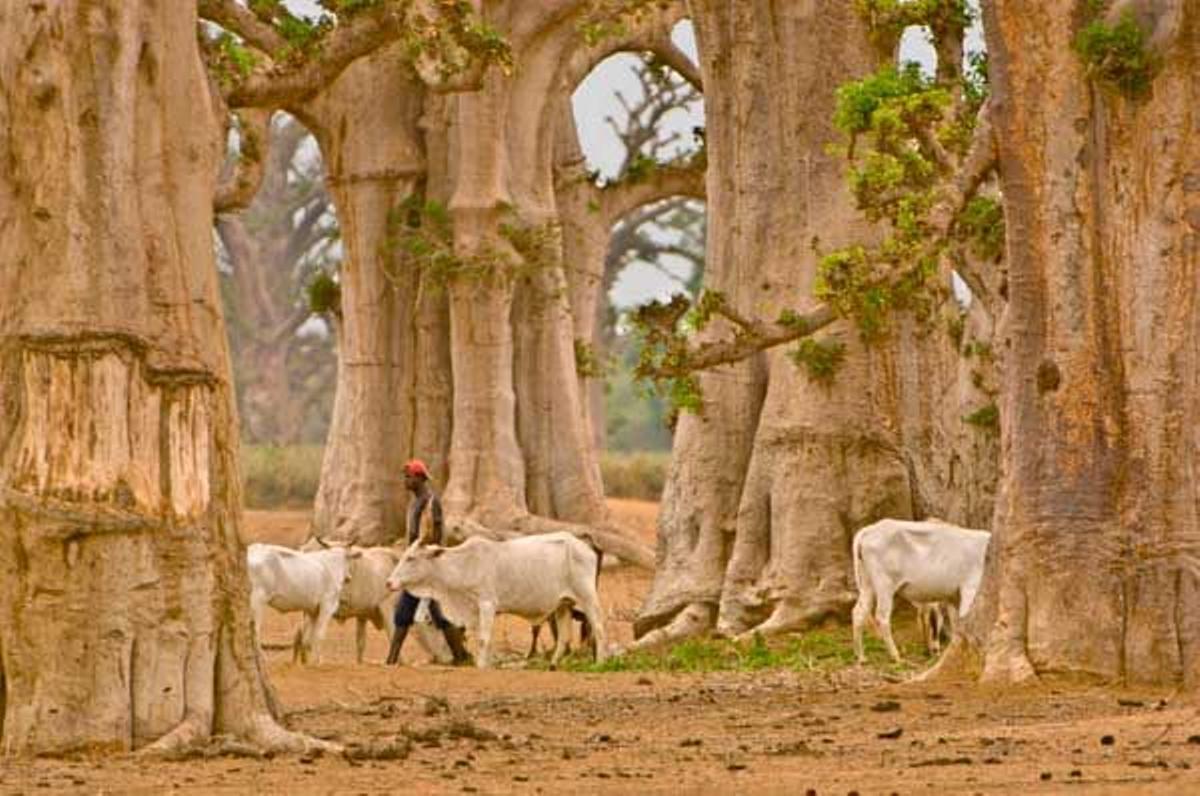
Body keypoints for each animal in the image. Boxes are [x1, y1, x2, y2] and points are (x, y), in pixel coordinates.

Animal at [386, 533, 609, 667]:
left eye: (411, 558)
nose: (389, 582)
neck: (464, 565)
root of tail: (585, 546)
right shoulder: (475, 611)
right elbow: (483, 640)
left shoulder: (487, 604)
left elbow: (483, 640)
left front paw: (481, 667)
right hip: (563, 604)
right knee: (564, 636)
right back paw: (553, 666)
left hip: (587, 597)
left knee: (598, 627)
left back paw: (600, 662)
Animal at [854, 521, 993, 662]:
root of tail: (870, 529)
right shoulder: (970, 587)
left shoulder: (954, 596)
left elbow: (957, 623)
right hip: (884, 585)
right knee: (882, 617)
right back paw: (896, 656)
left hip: (867, 584)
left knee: (858, 613)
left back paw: (861, 657)